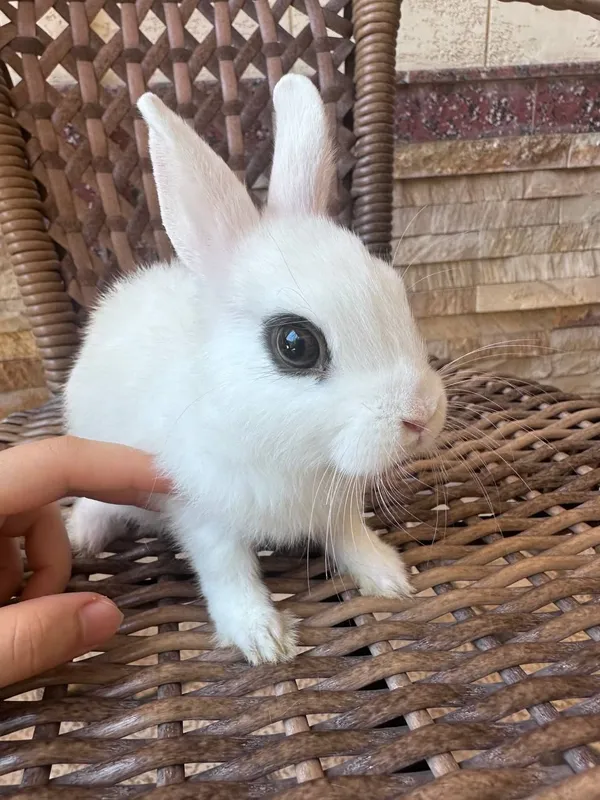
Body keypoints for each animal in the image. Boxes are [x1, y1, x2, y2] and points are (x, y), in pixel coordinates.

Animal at [64, 74, 447, 665]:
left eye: (394, 289)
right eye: (295, 345)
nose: (420, 416)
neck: (295, 454)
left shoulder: (337, 505)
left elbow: (350, 538)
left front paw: (389, 577)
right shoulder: (204, 516)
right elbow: (228, 575)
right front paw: (264, 640)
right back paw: (82, 534)